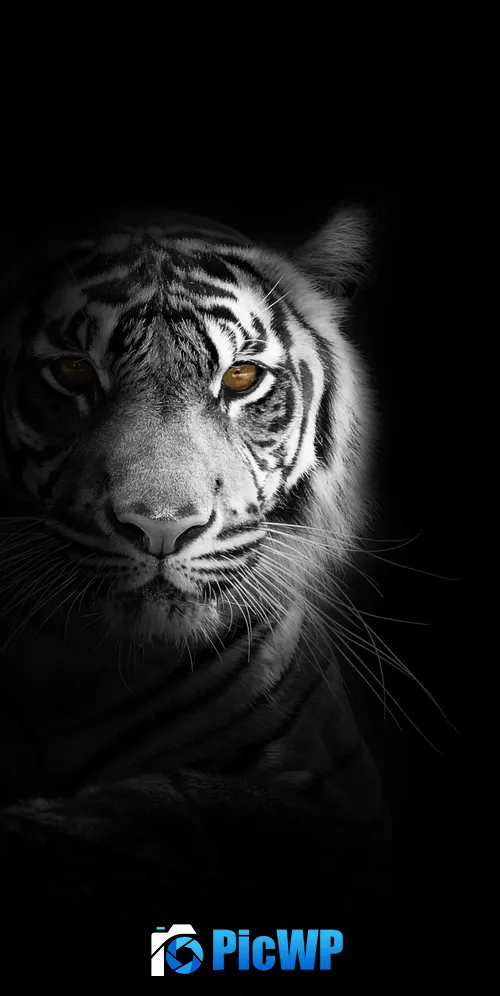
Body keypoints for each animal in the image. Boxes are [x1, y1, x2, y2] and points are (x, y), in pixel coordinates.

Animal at [0, 205, 393, 964]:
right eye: (72, 371)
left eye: (240, 378)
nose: (161, 527)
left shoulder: (348, 800)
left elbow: (207, 805)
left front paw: (51, 822)